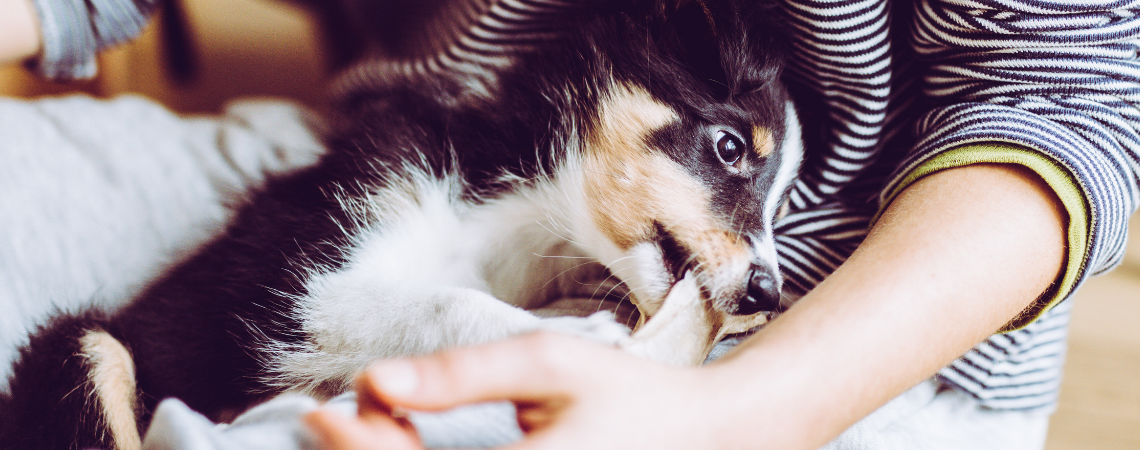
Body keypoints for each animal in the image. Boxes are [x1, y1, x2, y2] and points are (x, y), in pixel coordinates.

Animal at [2, 0, 802, 446]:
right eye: (730, 147)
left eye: (782, 201)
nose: (768, 293)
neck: (506, 220)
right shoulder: (291, 286)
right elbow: (442, 304)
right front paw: (571, 341)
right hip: (87, 347)